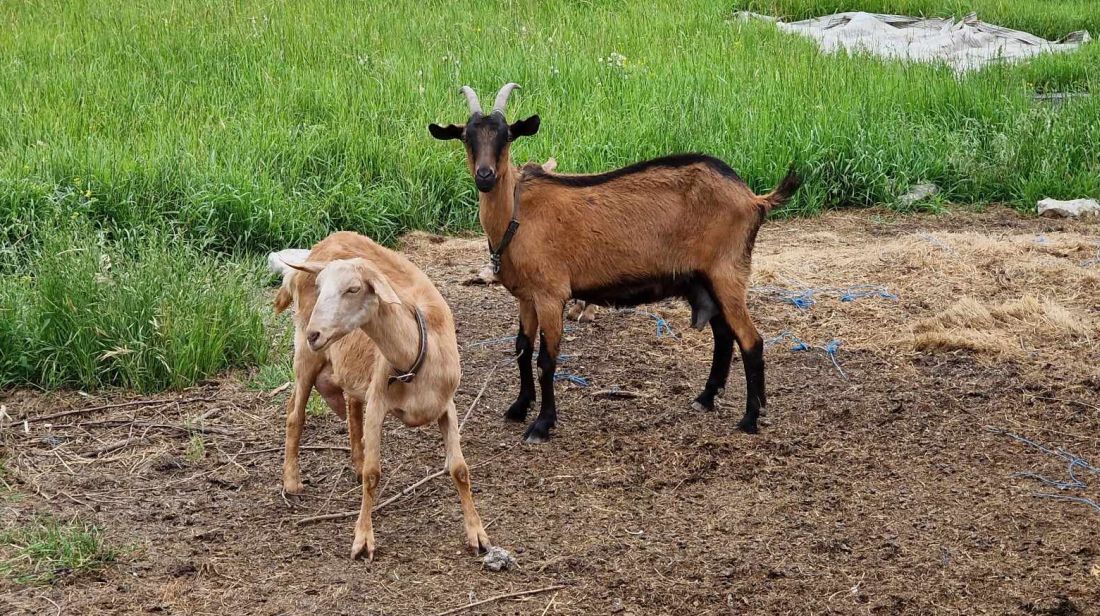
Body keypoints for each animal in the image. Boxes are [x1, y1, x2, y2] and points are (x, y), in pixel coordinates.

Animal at [429, 83, 800, 442]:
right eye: (467, 137)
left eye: (506, 136)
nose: (485, 175)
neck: (517, 214)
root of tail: (753, 198)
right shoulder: (526, 296)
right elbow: (522, 348)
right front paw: (519, 407)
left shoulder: (551, 293)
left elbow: (546, 359)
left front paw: (542, 425)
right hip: (704, 279)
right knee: (724, 336)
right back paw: (705, 399)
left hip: (728, 272)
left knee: (751, 340)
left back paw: (750, 418)